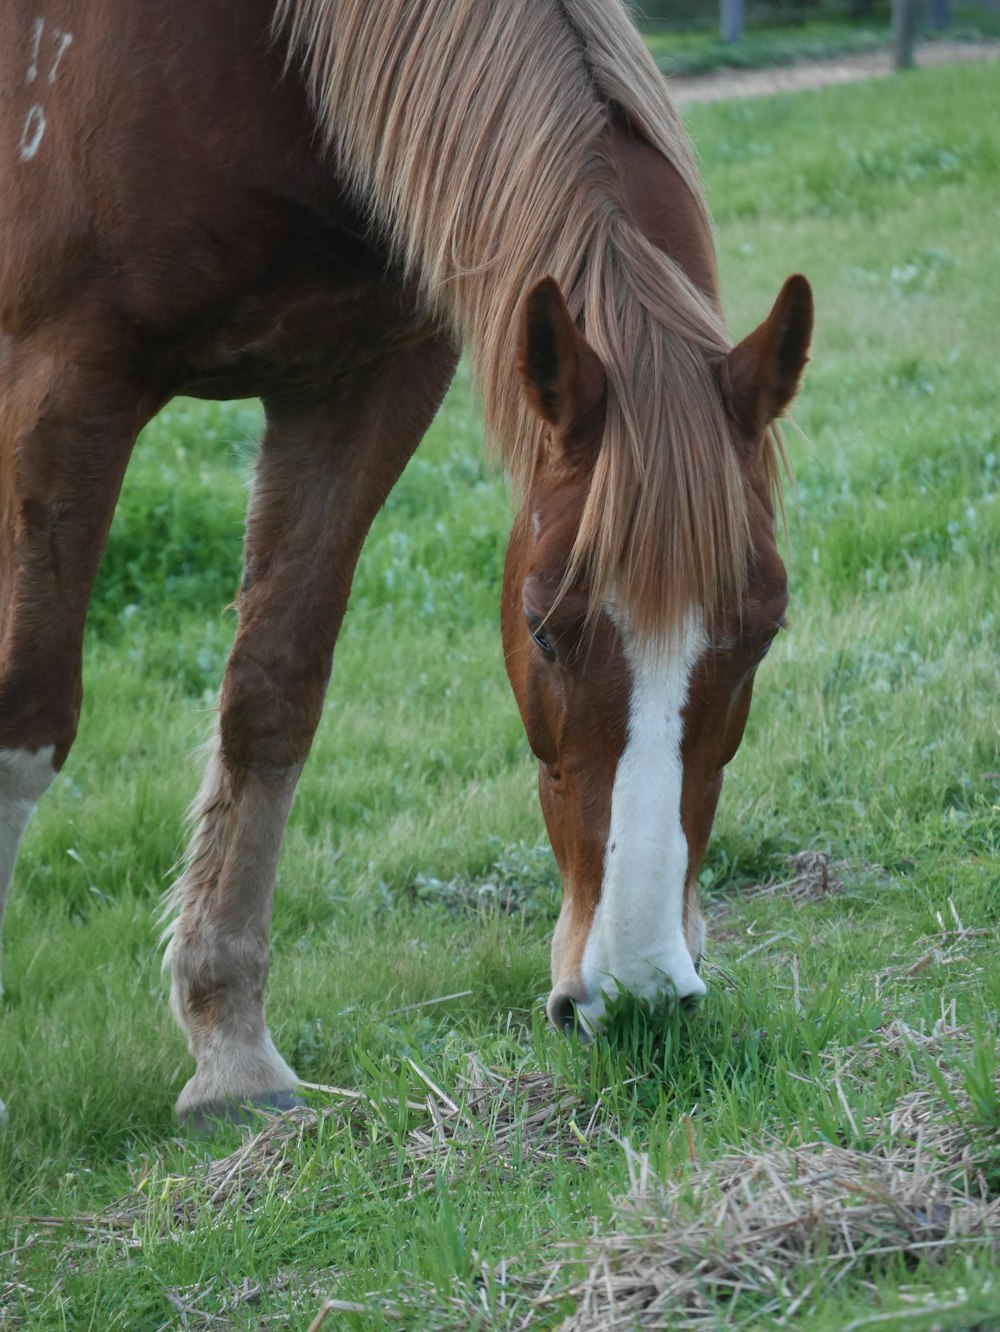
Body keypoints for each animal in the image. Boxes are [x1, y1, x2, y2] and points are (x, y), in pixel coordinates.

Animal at [0, 0, 809, 1124]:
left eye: (765, 633)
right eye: (544, 628)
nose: (641, 990)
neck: (263, 61)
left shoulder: (363, 381)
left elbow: (272, 696)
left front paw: (232, 1054)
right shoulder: (65, 377)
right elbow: (27, 711)